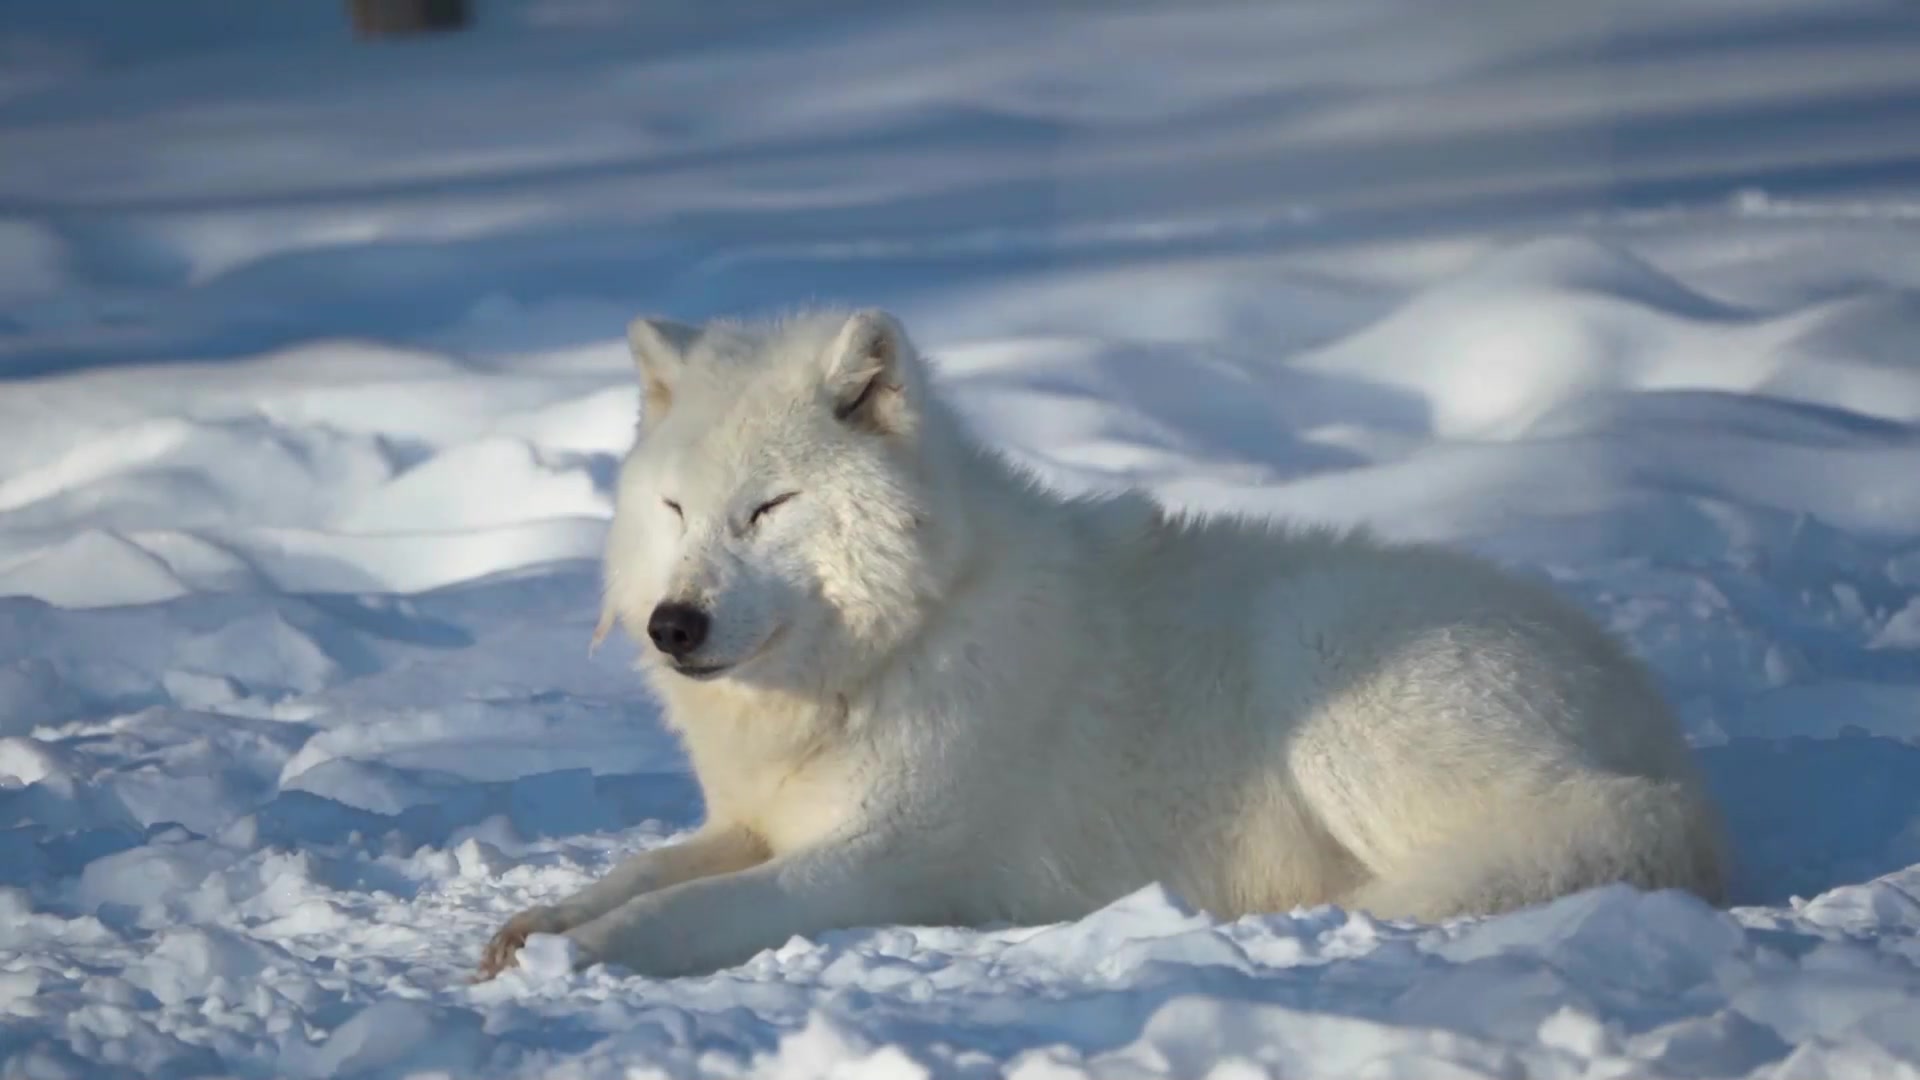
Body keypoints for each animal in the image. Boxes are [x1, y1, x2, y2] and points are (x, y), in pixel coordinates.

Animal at [476, 309, 1728, 976]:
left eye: (769, 509)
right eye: (677, 510)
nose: (671, 625)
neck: (899, 646)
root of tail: (1660, 732)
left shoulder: (878, 862)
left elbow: (686, 910)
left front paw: (578, 956)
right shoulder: (749, 823)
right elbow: (640, 869)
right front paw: (535, 927)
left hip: (1327, 680)